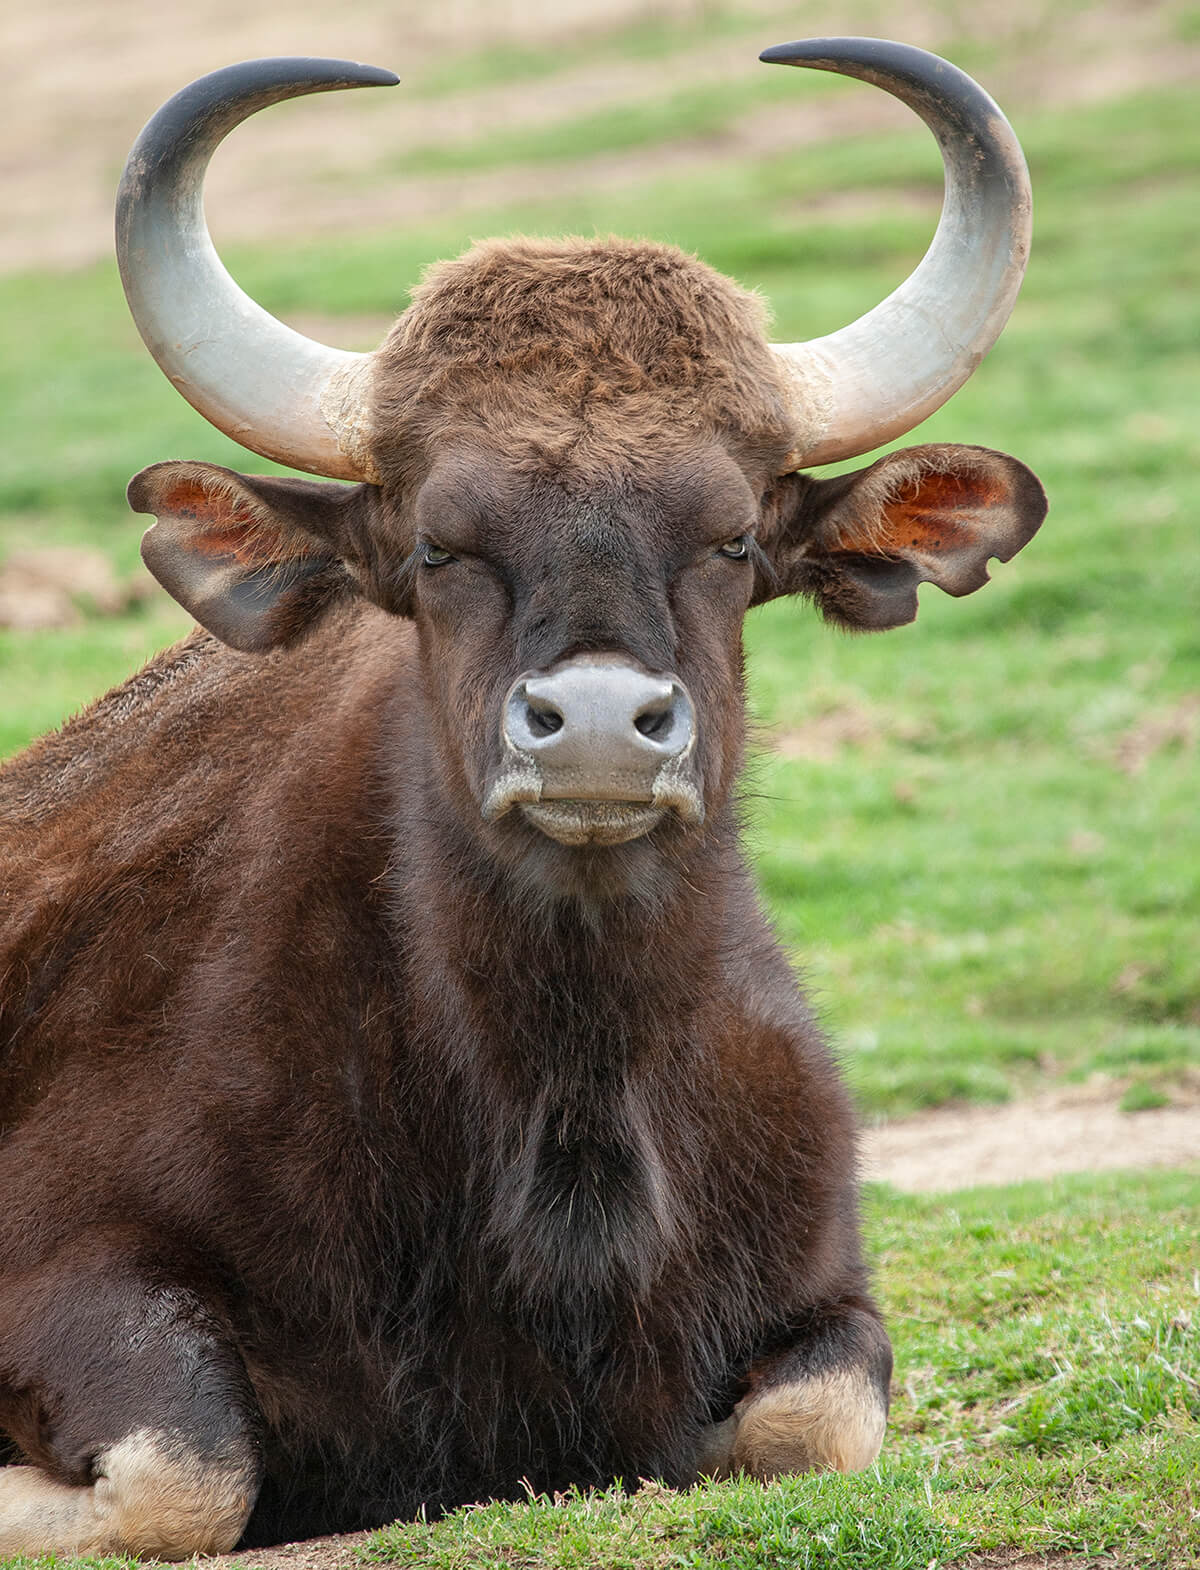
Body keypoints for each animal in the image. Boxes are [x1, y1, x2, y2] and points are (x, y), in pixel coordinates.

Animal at [0, 36, 1042, 1557]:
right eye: (440, 543)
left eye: (733, 535)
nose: (598, 730)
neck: (568, 1102)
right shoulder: (63, 1262)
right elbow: (185, 1472)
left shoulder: (822, 1277)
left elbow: (813, 1420)